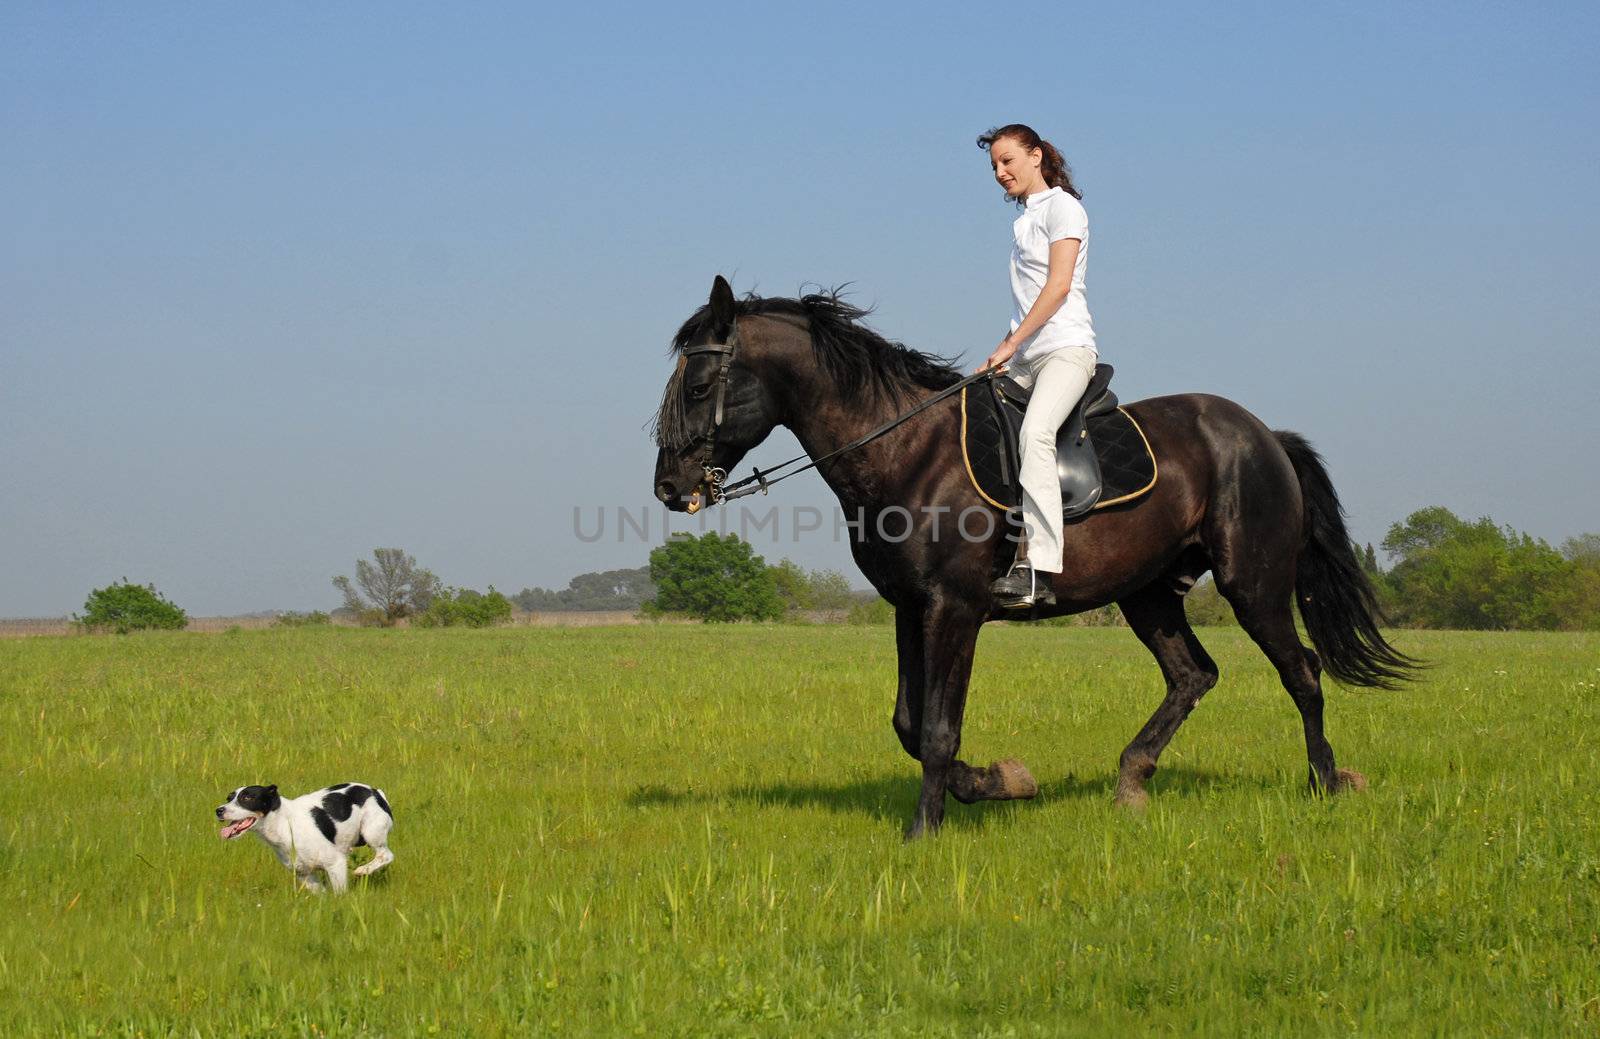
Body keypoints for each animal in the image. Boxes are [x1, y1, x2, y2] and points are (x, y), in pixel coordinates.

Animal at [216, 778, 393, 890]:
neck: (284, 824)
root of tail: (375, 792)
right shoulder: (305, 874)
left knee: (386, 855)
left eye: (247, 798)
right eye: (229, 798)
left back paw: (364, 870)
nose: (218, 810)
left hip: (371, 832)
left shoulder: (336, 864)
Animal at [649, 273, 1414, 832]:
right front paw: (1000, 783)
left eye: (699, 385)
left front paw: (927, 828)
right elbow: (907, 723)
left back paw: (1325, 781)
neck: (906, 449)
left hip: (1252, 584)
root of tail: (1262, 435)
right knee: (1193, 674)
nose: (669, 487)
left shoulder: (954, 610)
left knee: (1301, 672)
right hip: (1148, 594)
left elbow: (937, 729)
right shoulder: (909, 609)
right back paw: (1132, 780)